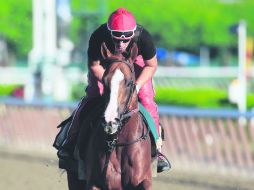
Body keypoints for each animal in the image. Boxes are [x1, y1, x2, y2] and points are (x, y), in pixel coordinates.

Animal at [80, 43, 153, 190]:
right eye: (104, 81)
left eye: (129, 82)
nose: (110, 121)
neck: (118, 143)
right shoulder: (95, 182)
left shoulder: (144, 179)